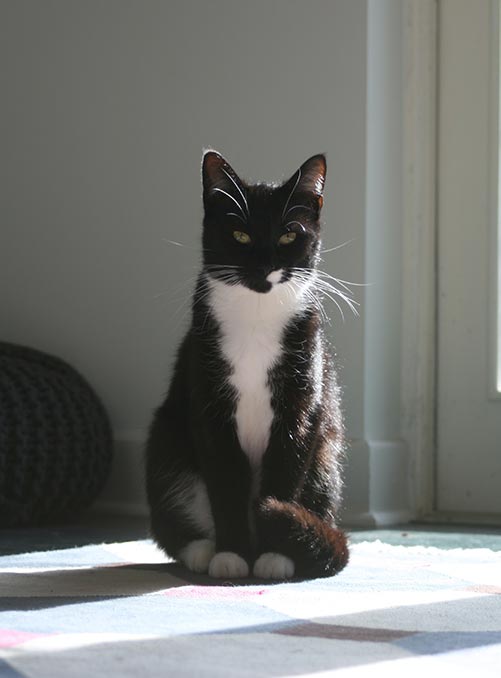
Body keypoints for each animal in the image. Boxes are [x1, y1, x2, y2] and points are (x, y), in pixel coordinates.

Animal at [145, 150, 348, 580]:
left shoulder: (301, 399)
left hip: (326, 459)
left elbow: (286, 469)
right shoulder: (209, 400)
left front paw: (275, 555)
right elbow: (225, 481)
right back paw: (202, 550)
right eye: (240, 235)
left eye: (288, 235)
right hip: (166, 439)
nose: (264, 266)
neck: (256, 315)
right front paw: (232, 555)